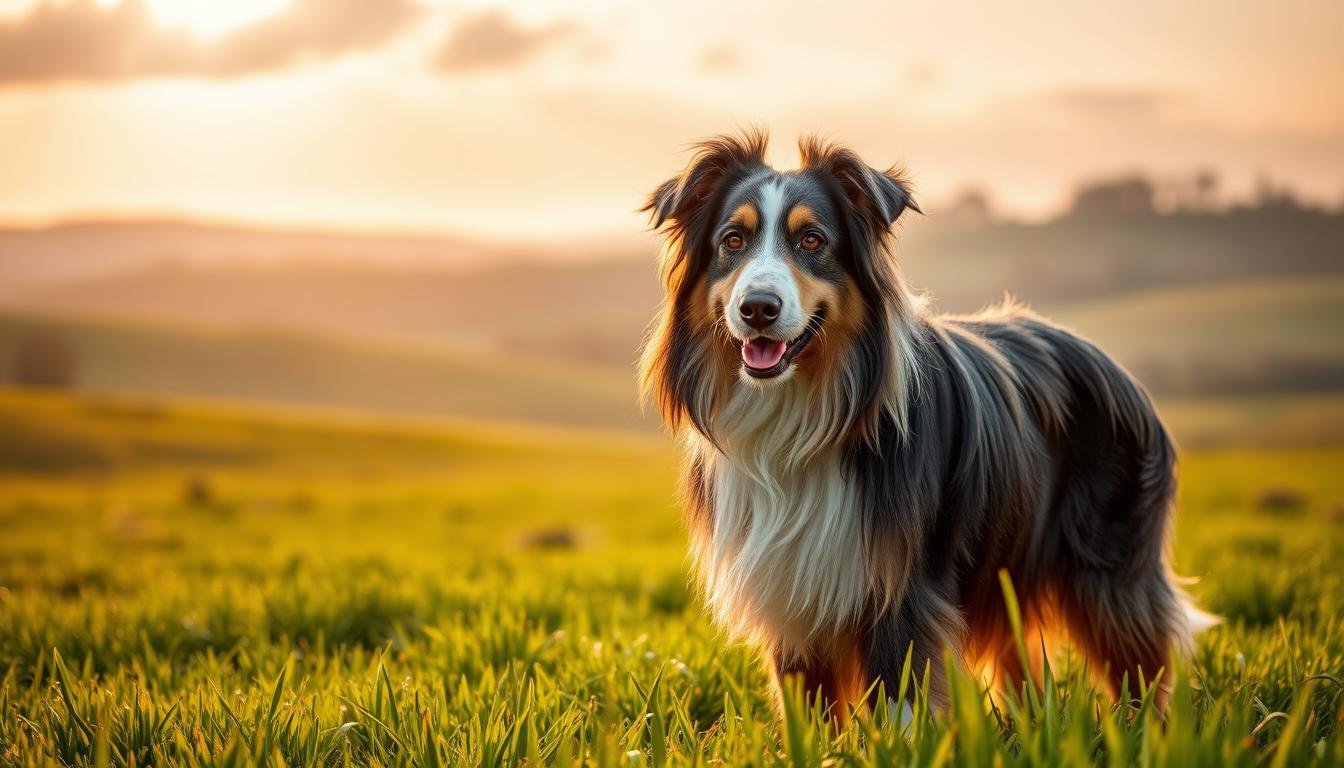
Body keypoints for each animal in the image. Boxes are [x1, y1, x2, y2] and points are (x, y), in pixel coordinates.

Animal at [639, 130, 1220, 715]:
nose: (758, 307)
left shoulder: (901, 586)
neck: (806, 411)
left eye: (812, 241)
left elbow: (900, 700)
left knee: (1139, 659)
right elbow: (809, 707)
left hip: (1111, 574)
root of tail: (1117, 370)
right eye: (733, 240)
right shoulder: (791, 592)